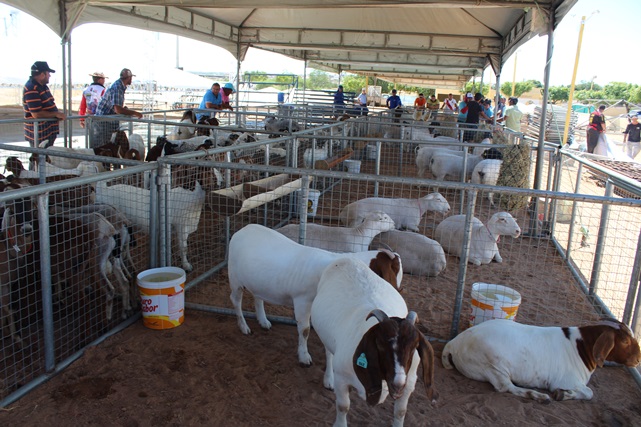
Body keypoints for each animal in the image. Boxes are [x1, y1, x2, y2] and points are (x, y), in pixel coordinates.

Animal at [228, 224, 402, 368]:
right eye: (394, 269)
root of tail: (242, 229)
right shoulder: (302, 300)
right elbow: (304, 330)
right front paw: (304, 357)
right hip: (234, 277)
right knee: (236, 300)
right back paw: (244, 327)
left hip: (256, 280)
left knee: (258, 297)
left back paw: (263, 321)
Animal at [308, 258, 436, 427]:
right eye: (380, 344)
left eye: (414, 346)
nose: (398, 383)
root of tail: (345, 259)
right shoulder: (342, 378)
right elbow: (343, 406)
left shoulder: (409, 384)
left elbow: (401, 412)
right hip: (326, 334)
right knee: (329, 354)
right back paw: (329, 379)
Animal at [440, 320, 640, 402]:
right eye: (625, 340)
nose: (638, 358)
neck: (580, 348)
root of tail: (454, 343)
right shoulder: (565, 380)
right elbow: (589, 392)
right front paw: (563, 394)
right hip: (492, 365)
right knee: (506, 387)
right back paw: (538, 396)